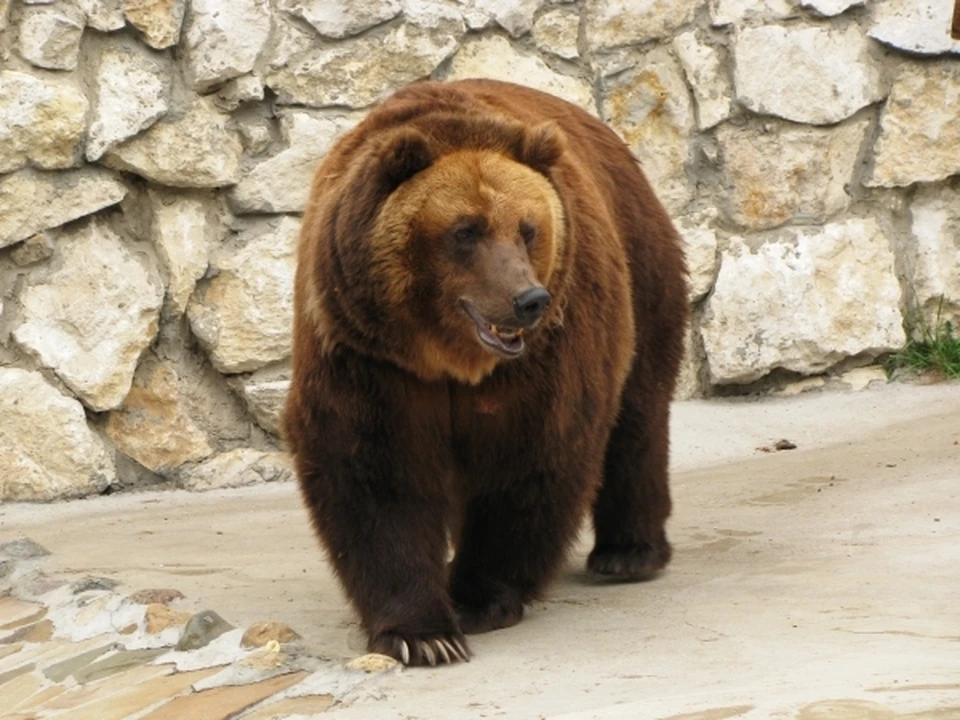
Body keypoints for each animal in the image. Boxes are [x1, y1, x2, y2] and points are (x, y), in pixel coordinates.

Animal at [282, 76, 688, 668]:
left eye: (528, 228)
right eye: (465, 230)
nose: (529, 300)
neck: (447, 356)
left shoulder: (542, 360)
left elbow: (528, 456)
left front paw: (477, 598)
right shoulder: (367, 354)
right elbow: (372, 470)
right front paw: (423, 634)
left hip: (641, 270)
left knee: (637, 414)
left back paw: (628, 551)